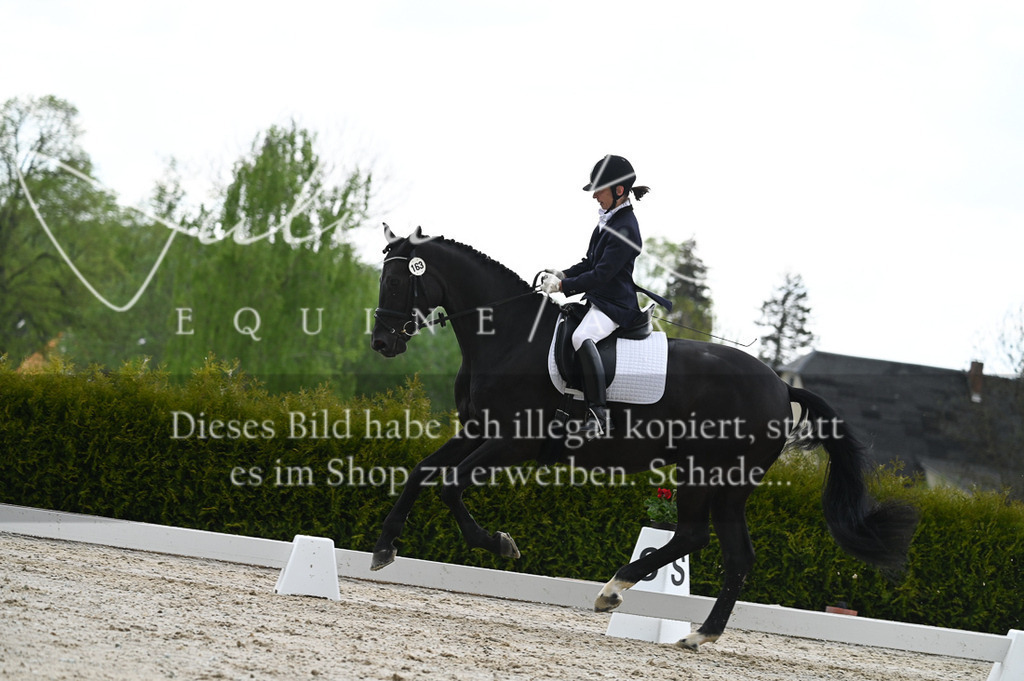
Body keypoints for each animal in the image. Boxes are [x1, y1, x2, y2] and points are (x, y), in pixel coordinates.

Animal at [369, 225, 918, 650]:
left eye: (396, 281)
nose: (381, 343)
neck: (507, 337)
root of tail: (782, 385)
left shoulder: (512, 442)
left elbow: (450, 486)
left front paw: (500, 544)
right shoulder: (478, 429)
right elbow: (422, 472)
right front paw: (384, 548)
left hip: (712, 473)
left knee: (700, 538)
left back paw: (618, 592)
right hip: (720, 482)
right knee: (730, 551)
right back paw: (695, 633)